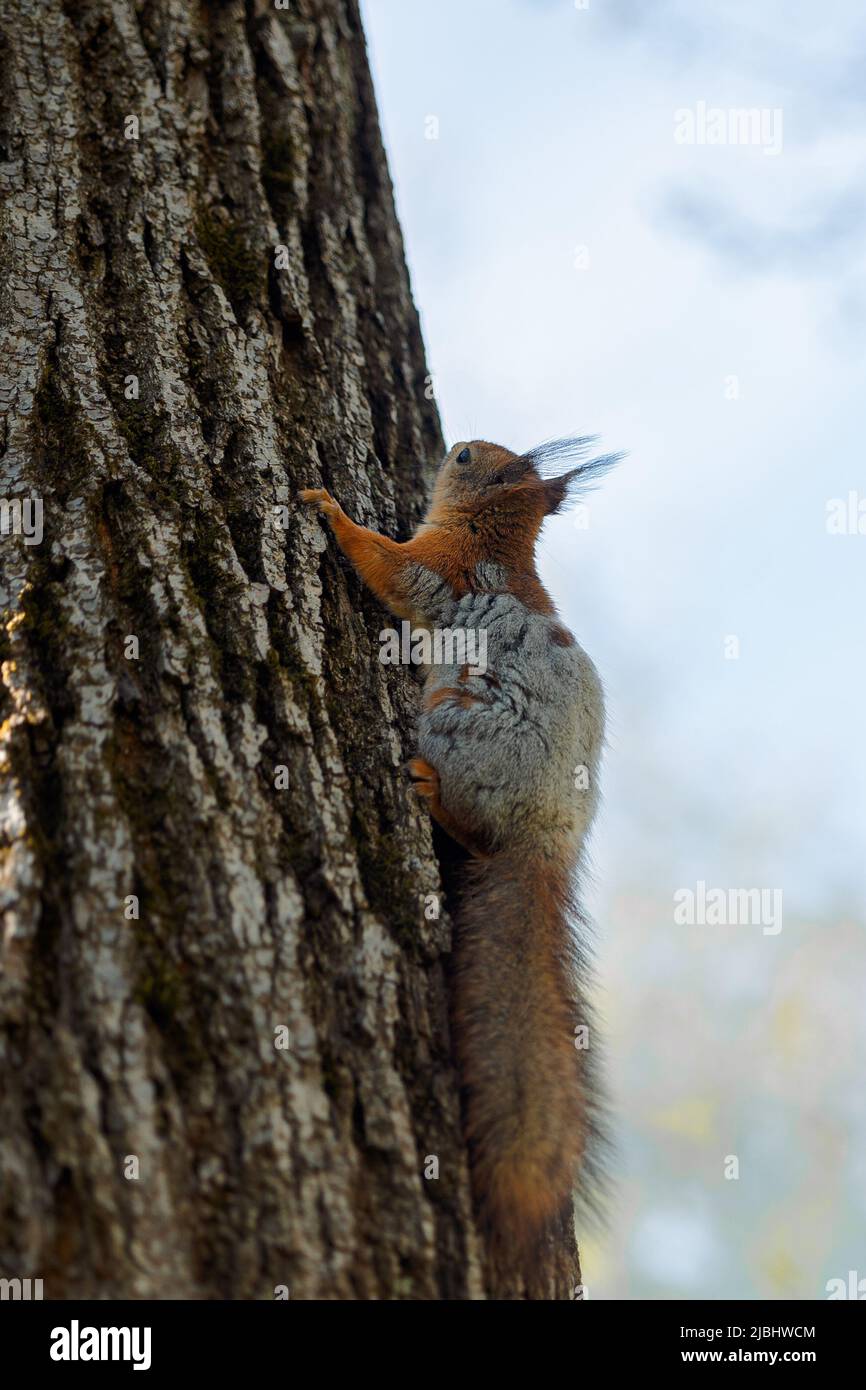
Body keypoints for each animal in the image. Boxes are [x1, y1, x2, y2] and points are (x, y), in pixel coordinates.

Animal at [301, 439, 619, 1267]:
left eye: (477, 462)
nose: (456, 446)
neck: (494, 541)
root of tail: (545, 841)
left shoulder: (436, 568)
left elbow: (385, 567)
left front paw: (330, 510)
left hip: (454, 719)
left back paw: (428, 790)